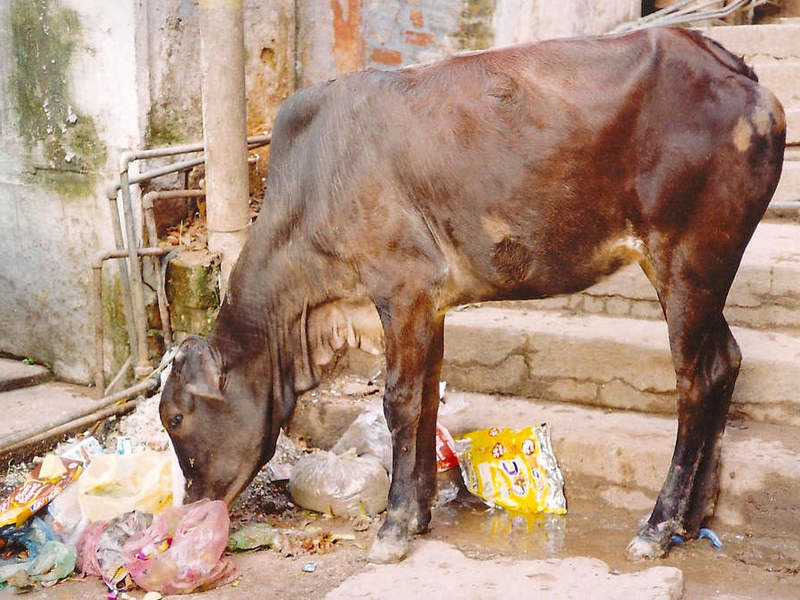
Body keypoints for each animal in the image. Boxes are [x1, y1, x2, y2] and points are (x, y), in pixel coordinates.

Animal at [159, 27, 784, 564]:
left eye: (176, 417)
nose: (189, 509)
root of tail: (740, 74)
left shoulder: (402, 289)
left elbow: (399, 403)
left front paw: (393, 528)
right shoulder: (429, 305)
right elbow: (428, 399)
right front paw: (419, 516)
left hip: (687, 263)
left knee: (695, 384)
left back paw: (657, 527)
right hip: (705, 275)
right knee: (726, 362)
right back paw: (692, 518)